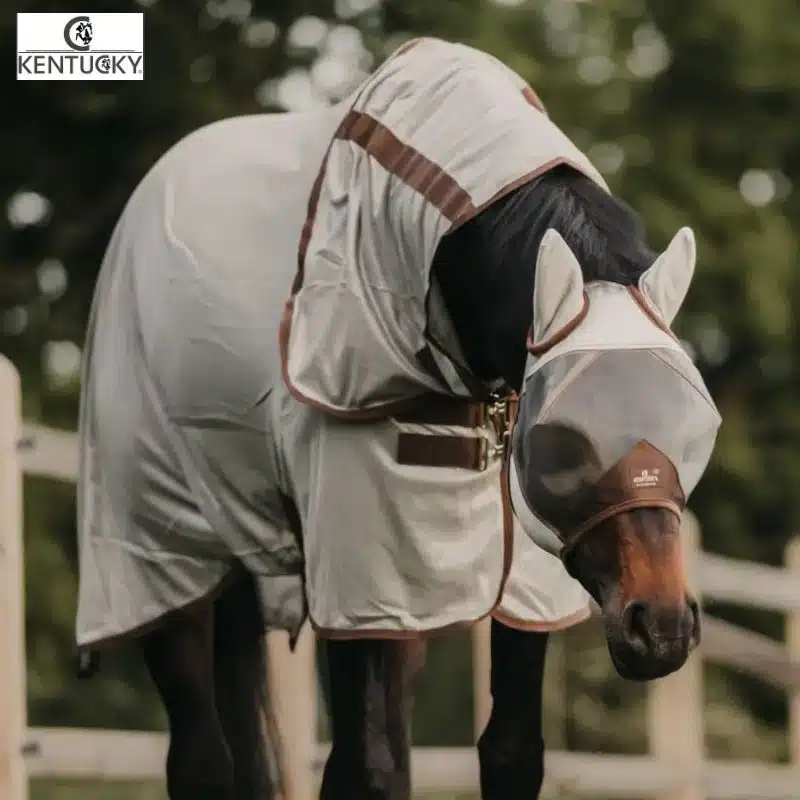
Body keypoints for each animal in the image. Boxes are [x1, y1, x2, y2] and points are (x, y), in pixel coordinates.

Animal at [74, 38, 720, 799]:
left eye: (694, 424)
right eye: (563, 438)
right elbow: (369, 768)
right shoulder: (363, 581)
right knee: (202, 756)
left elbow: (510, 750)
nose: (662, 627)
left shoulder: (515, 579)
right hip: (159, 555)